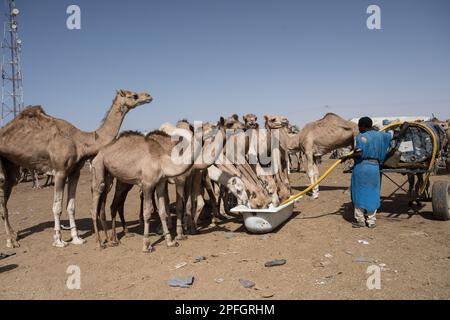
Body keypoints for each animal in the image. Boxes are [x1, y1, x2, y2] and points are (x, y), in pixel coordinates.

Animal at [0, 89, 152, 249]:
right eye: (133, 95)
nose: (148, 96)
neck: (79, 141)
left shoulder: (74, 172)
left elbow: (71, 206)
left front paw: (77, 238)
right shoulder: (60, 171)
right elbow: (57, 207)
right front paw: (58, 240)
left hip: (11, 166)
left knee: (6, 199)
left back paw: (14, 235)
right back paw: (10, 240)